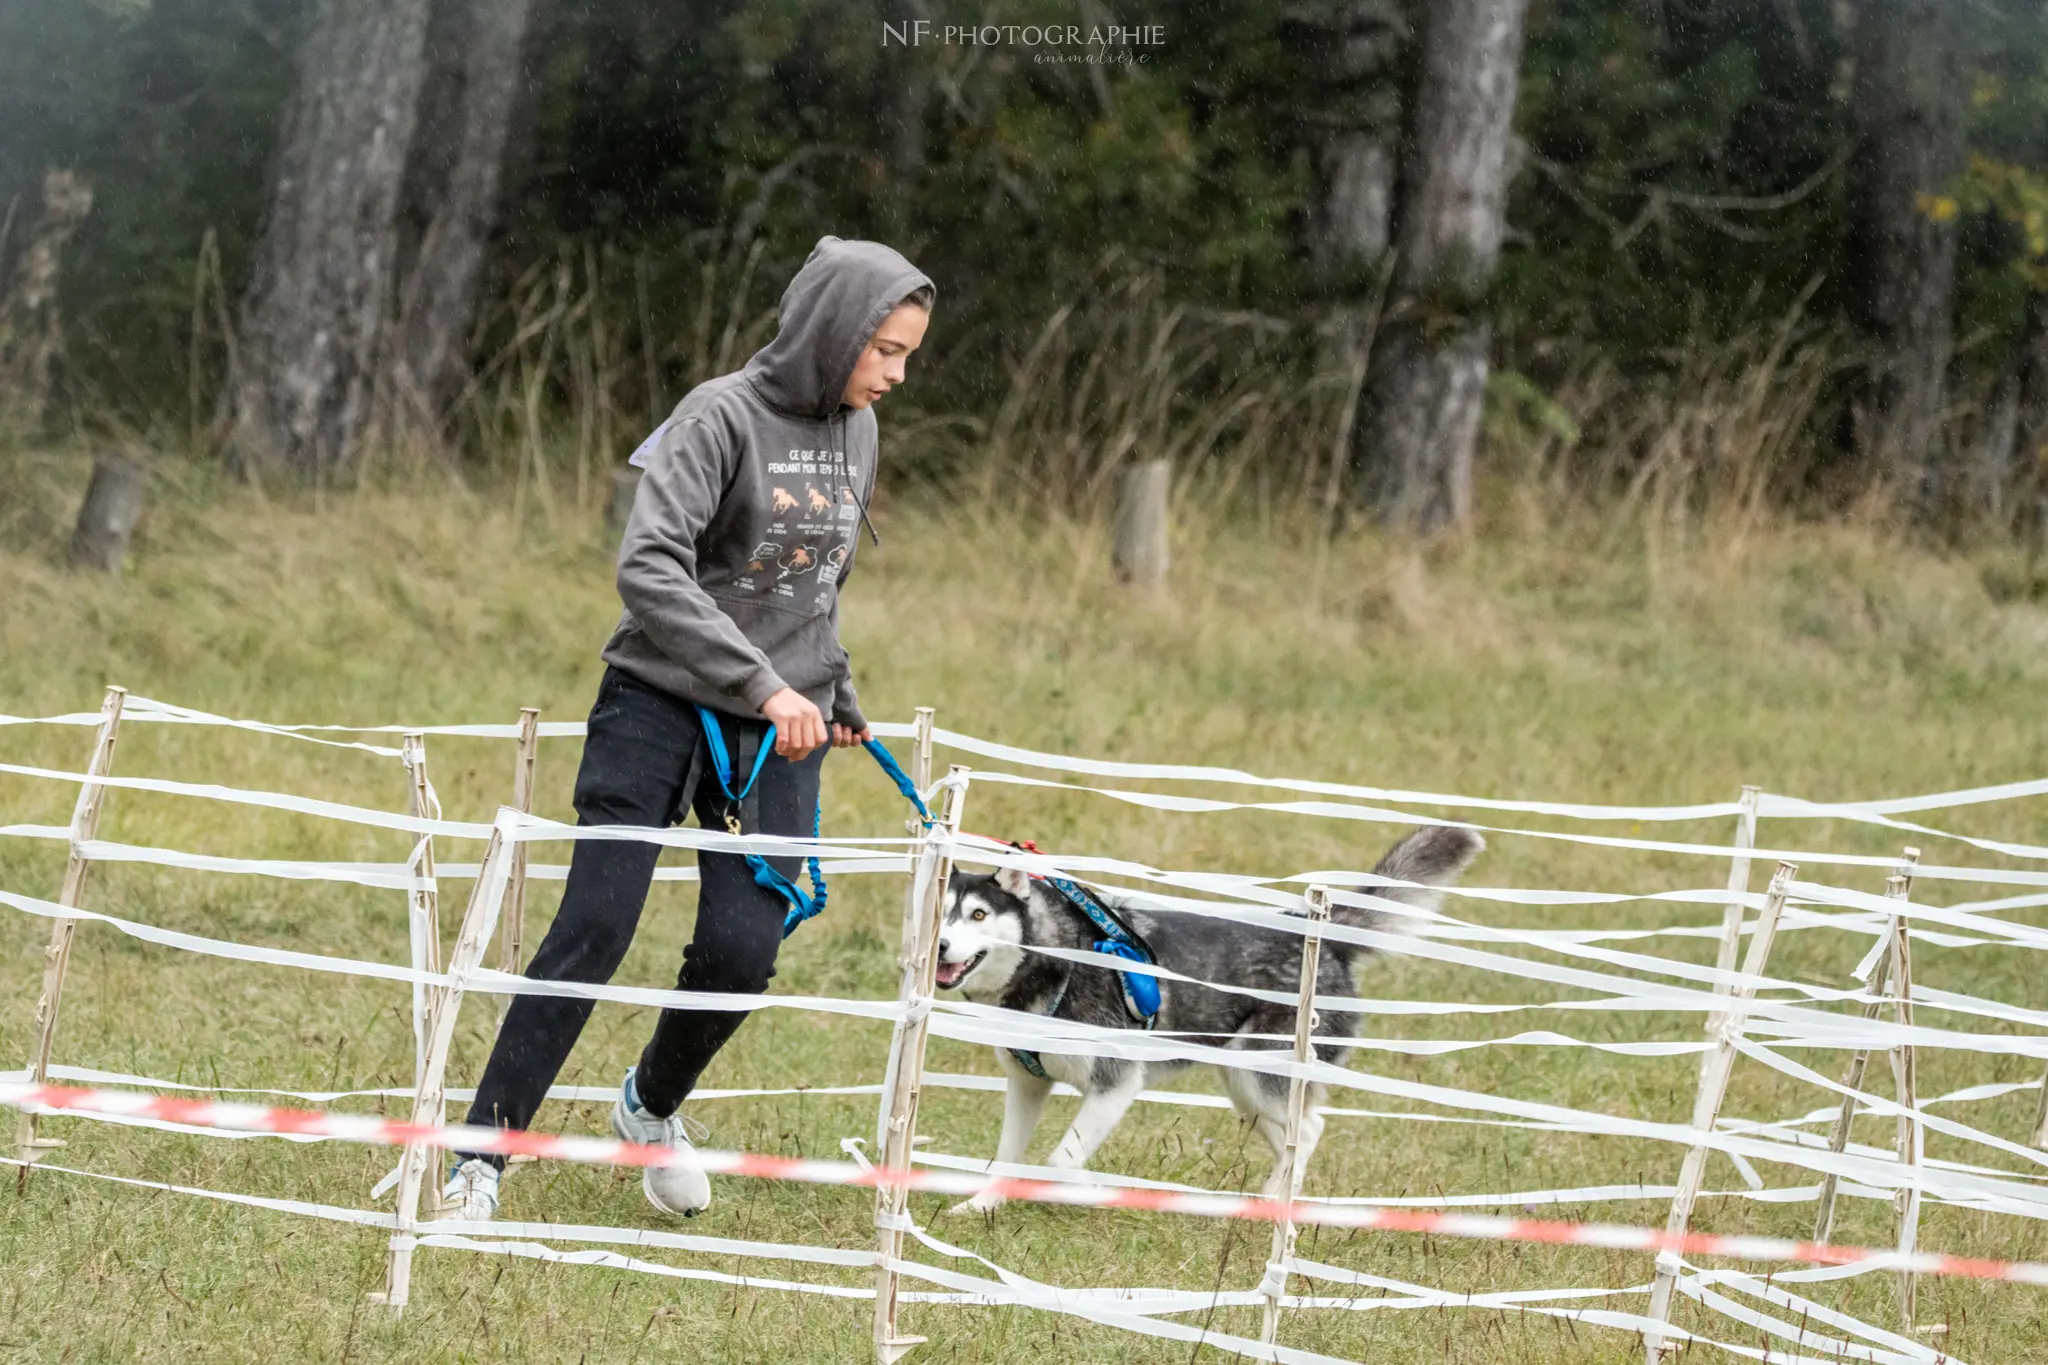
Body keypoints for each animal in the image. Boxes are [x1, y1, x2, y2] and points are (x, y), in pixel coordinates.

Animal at [933, 826, 1490, 1211]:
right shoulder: (1027, 1084)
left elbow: (1061, 1161)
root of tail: (1318, 937)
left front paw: (1093, 1190)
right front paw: (982, 1205)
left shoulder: (1116, 1085)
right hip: (1245, 1088)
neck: (1057, 963)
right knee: (1293, 1138)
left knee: (1309, 1131)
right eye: (942, 914)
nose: (939, 946)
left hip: (1262, 1077)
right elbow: (1007, 1155)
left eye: (979, 915)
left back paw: (1275, 1204)